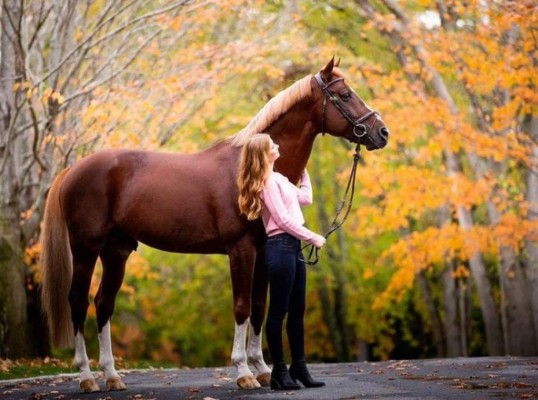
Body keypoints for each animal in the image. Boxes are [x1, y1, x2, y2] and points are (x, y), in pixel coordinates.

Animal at [40, 57, 386, 392]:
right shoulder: (241, 250)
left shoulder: (263, 252)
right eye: (345, 95)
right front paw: (244, 372)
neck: (248, 170)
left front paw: (262, 370)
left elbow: (259, 307)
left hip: (116, 251)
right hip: (86, 250)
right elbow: (242, 307)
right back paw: (86, 377)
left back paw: (112, 376)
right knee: (78, 302)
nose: (382, 133)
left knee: (104, 304)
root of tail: (73, 170)